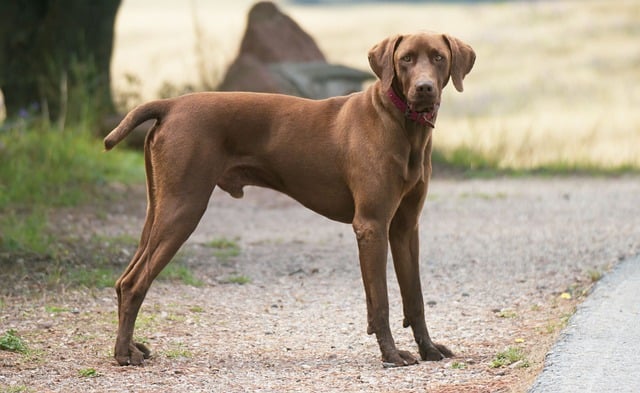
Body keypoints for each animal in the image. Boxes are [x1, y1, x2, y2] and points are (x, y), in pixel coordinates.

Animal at [105, 32, 476, 366]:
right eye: (406, 59)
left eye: (438, 57)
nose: (424, 88)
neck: (402, 125)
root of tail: (171, 105)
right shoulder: (371, 225)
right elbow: (381, 301)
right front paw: (391, 354)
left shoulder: (405, 228)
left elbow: (415, 298)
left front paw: (428, 349)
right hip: (183, 209)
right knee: (135, 282)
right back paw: (123, 354)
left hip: (159, 210)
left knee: (125, 280)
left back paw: (132, 346)